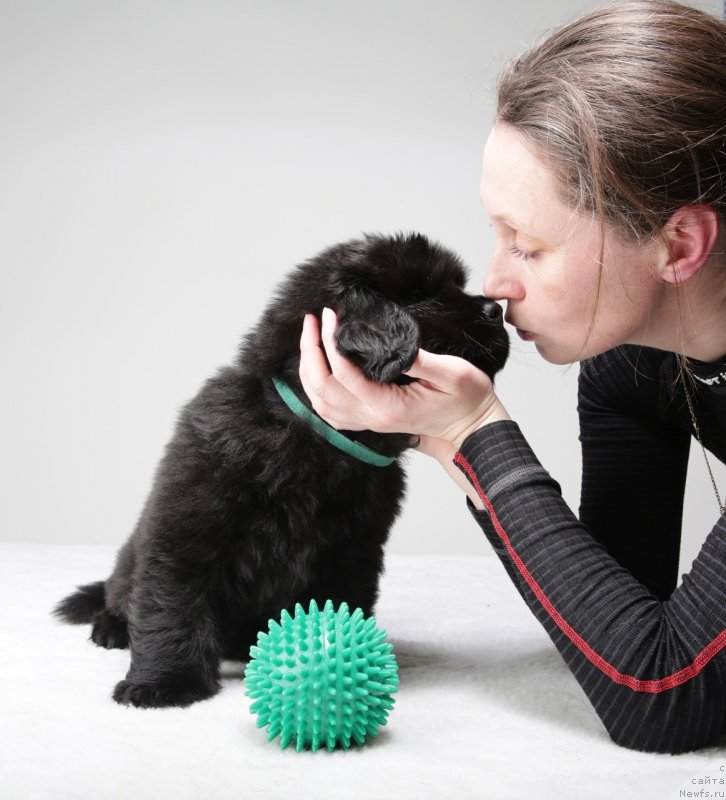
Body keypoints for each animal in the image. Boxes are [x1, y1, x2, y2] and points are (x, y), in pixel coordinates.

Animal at [54, 231, 510, 708]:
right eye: (421, 294)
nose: (497, 310)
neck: (316, 435)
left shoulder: (353, 554)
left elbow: (341, 609)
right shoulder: (185, 528)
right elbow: (171, 604)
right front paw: (164, 683)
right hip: (130, 560)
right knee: (122, 594)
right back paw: (112, 627)